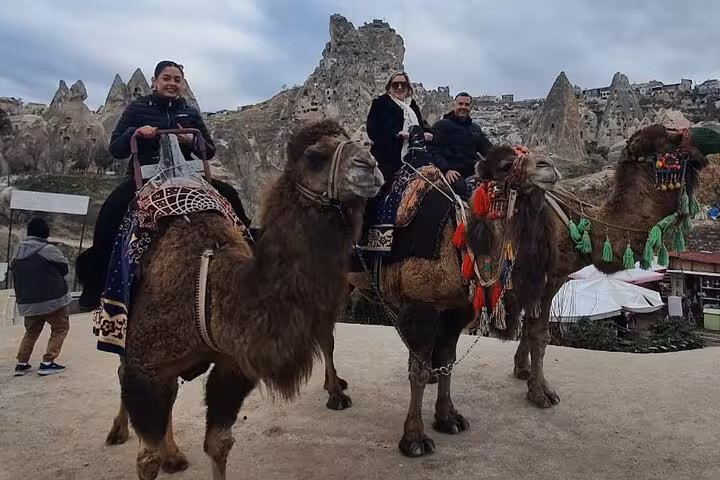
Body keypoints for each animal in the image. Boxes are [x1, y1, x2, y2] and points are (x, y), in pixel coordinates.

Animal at [96, 119, 383, 480]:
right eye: (315, 156)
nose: (369, 165)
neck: (208, 286)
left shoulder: (233, 366)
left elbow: (218, 444)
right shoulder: (146, 369)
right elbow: (147, 459)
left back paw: (174, 456)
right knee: (124, 372)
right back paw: (119, 431)